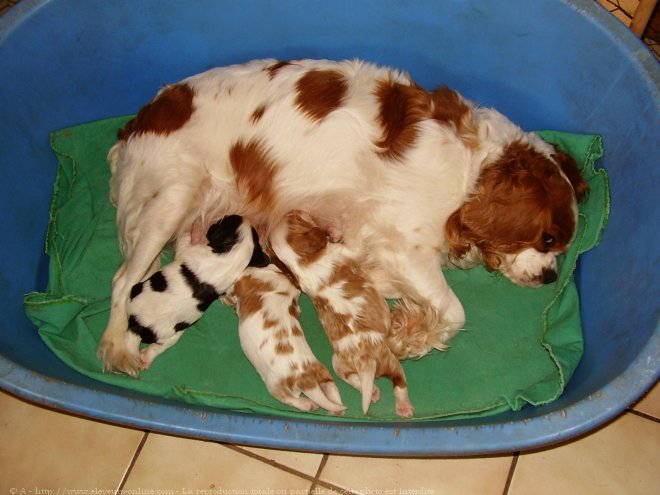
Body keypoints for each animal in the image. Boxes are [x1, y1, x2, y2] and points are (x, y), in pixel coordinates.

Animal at [124, 215, 268, 374]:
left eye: (222, 221)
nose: (221, 217)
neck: (234, 254)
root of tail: (137, 325)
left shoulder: (190, 251)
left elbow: (187, 242)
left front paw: (196, 228)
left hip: (165, 327)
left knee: (158, 346)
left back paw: (144, 358)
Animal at [228, 264, 346, 414]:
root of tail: (304, 378)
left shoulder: (246, 276)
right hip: (322, 371)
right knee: (332, 389)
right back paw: (336, 409)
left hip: (275, 385)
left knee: (290, 399)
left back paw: (309, 404)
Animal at [268, 212, 412, 418]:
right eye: (296, 217)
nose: (298, 211)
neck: (302, 262)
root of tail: (365, 362)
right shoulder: (348, 251)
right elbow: (358, 244)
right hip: (390, 362)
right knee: (399, 383)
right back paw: (404, 407)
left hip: (337, 363)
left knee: (352, 379)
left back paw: (373, 392)